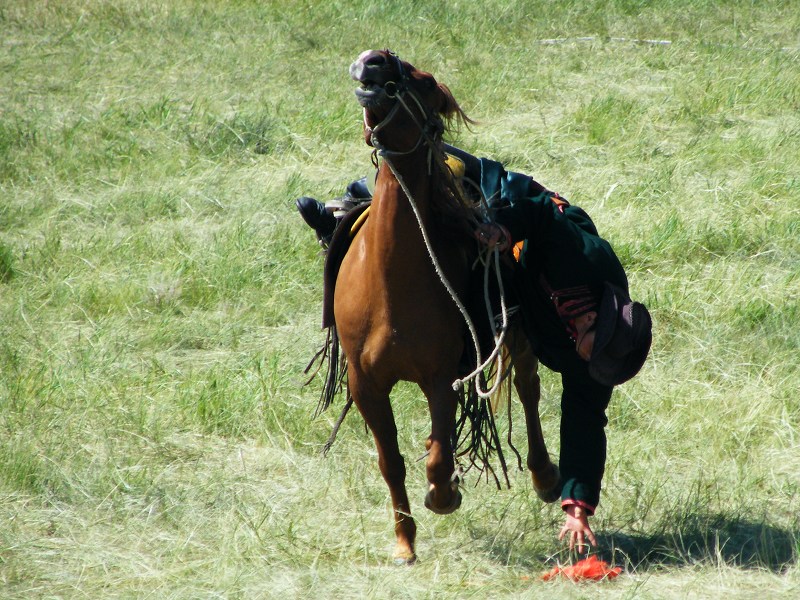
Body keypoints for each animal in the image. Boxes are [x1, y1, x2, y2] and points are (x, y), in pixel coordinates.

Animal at [334, 50, 560, 564]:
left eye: (422, 81)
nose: (373, 61)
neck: (389, 285)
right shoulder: (365, 385)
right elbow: (391, 462)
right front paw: (404, 542)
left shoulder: (440, 378)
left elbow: (438, 457)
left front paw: (445, 496)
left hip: (517, 341)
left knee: (528, 389)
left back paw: (546, 477)